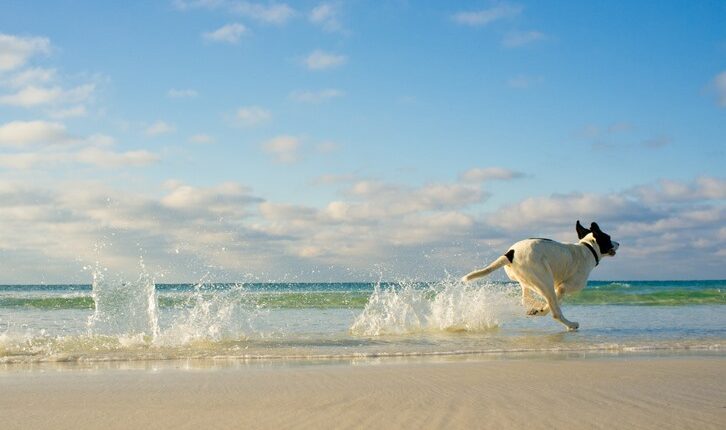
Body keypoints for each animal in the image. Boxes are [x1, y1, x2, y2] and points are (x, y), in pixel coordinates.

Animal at [466, 220, 620, 330]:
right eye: (608, 237)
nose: (618, 243)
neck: (587, 248)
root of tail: (510, 254)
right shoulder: (563, 287)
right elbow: (553, 304)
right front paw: (541, 310)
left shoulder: (557, 287)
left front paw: (538, 309)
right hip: (545, 280)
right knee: (555, 312)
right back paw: (570, 324)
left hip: (529, 281)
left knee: (526, 299)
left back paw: (535, 307)